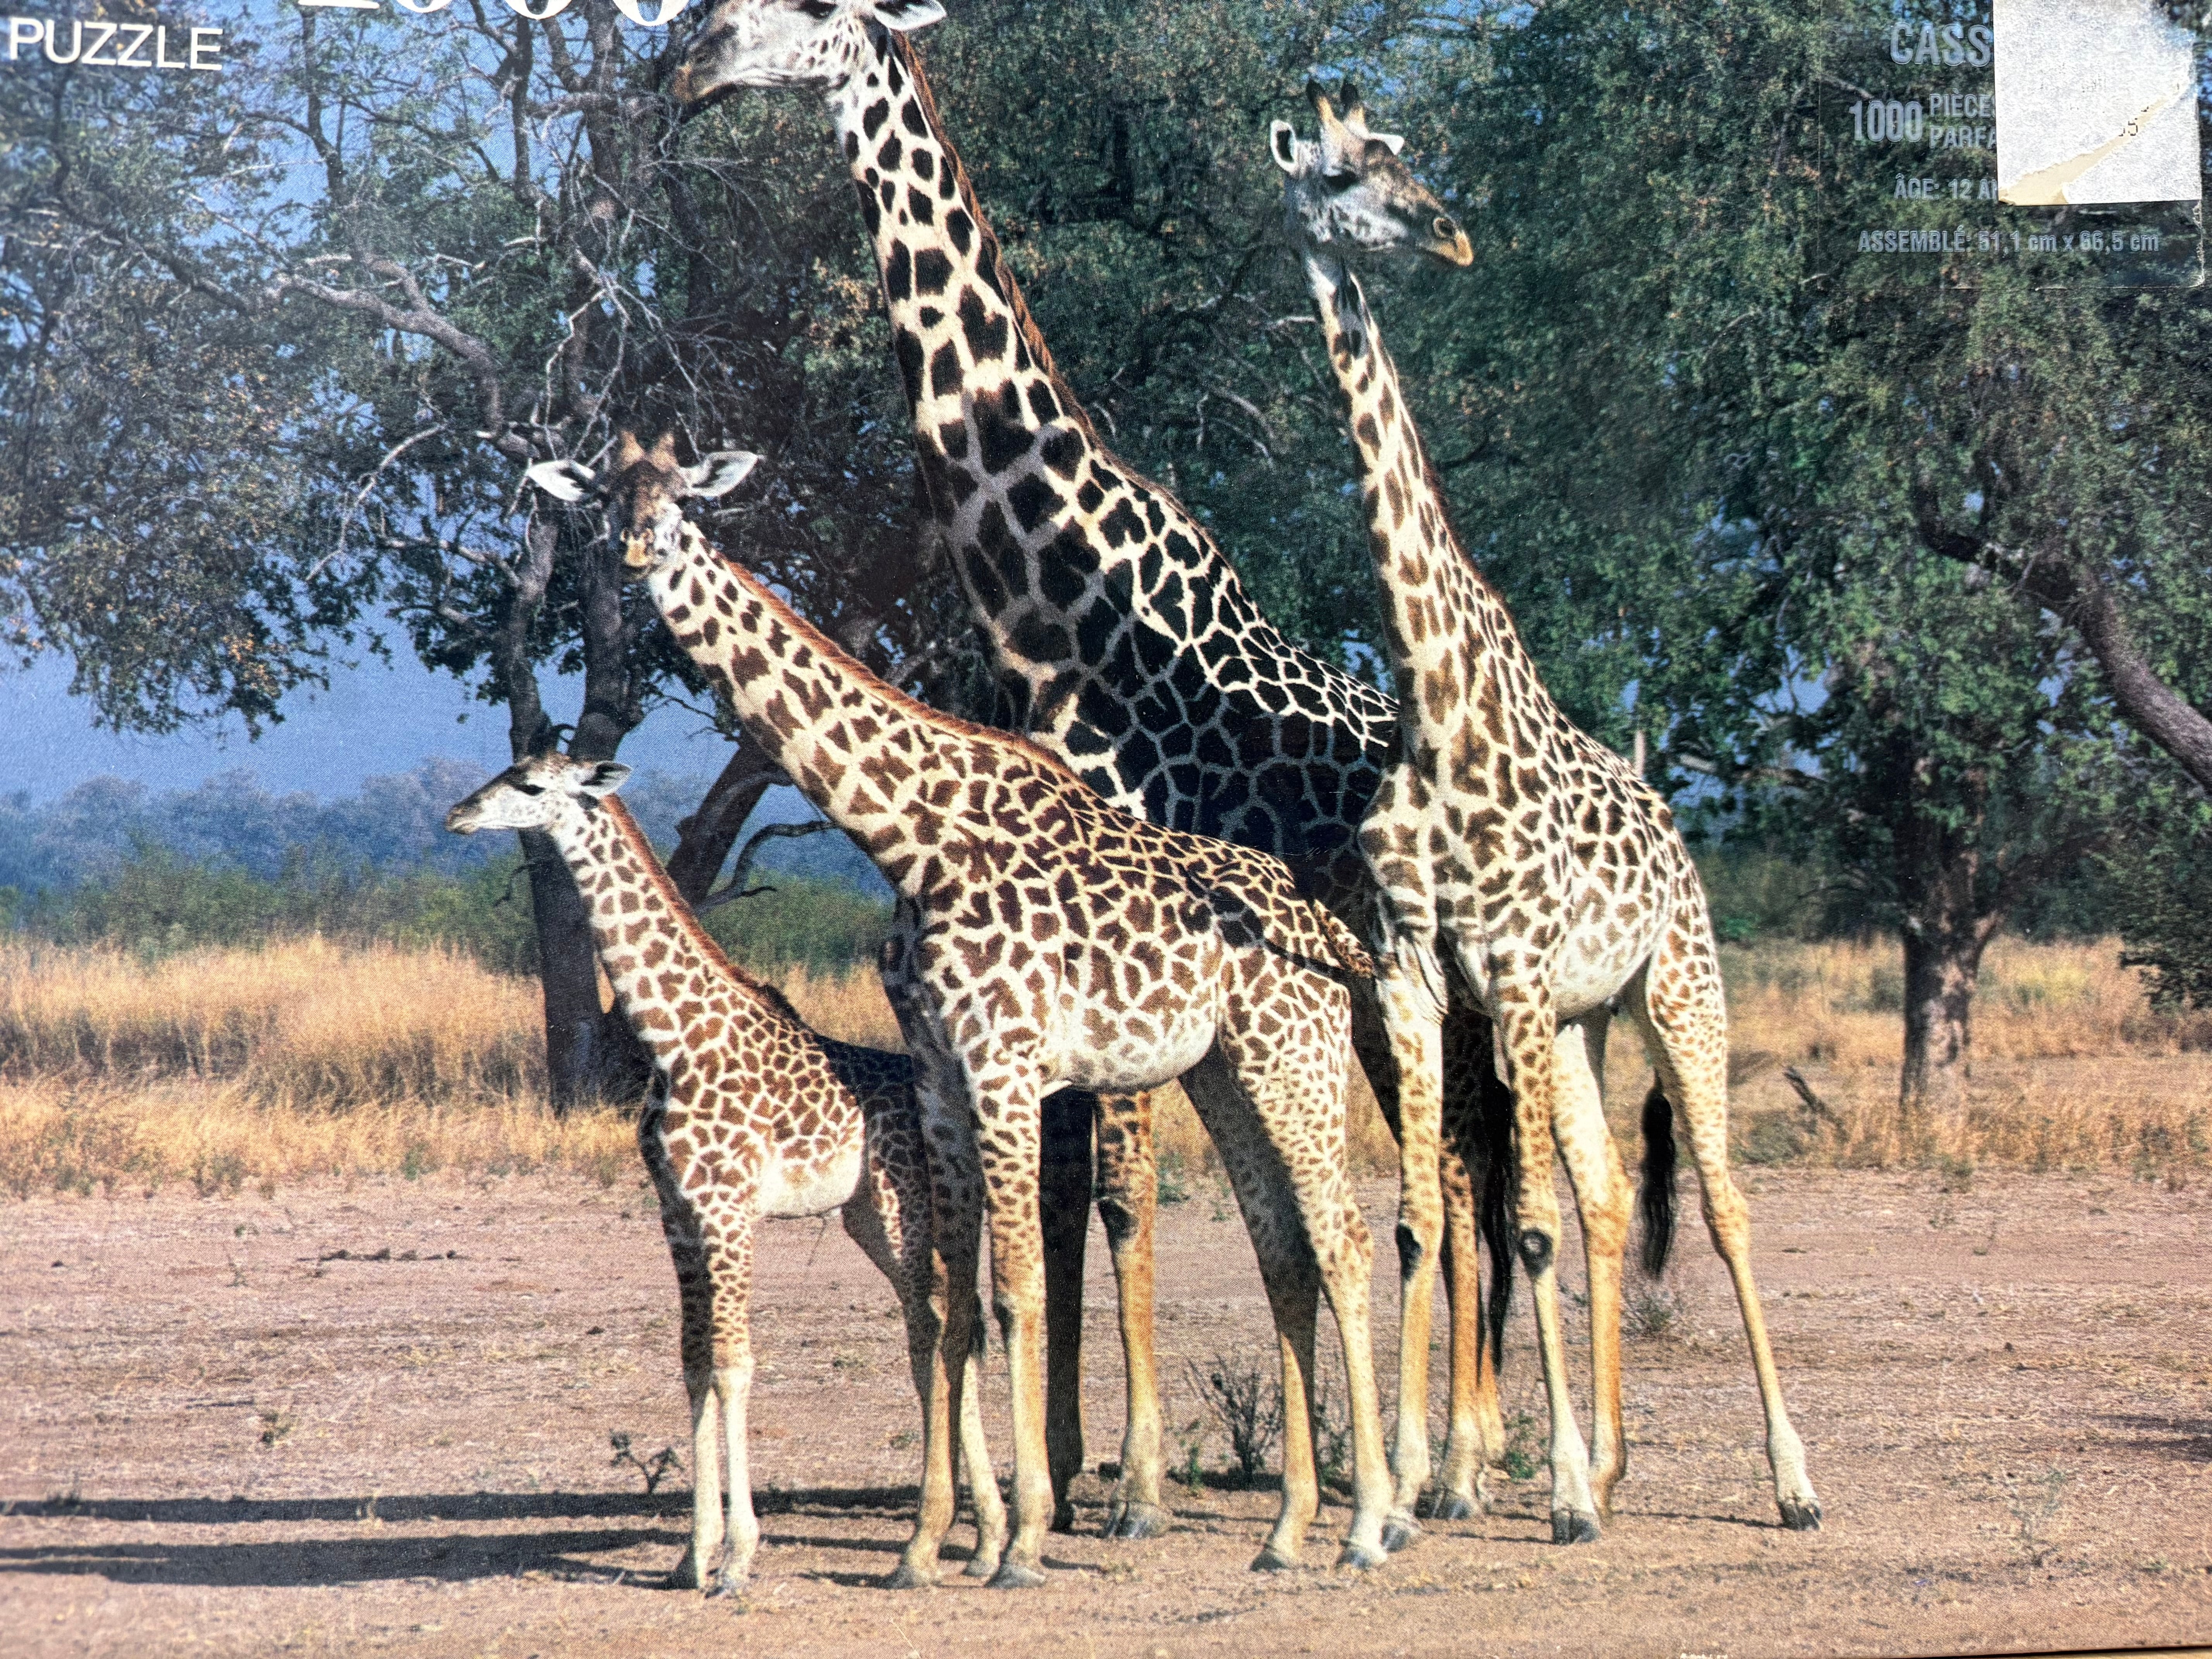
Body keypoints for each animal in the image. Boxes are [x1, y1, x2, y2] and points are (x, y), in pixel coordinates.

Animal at [444, 741, 1008, 1594]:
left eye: (532, 783)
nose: (459, 813)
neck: (672, 1040)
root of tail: (960, 1114)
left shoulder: (728, 1208)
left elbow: (737, 1363)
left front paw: (738, 1556)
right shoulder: (676, 1212)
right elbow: (693, 1362)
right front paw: (690, 1555)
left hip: (906, 1207)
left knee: (936, 1332)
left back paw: (934, 1542)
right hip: (872, 1217)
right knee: (952, 1329)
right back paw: (982, 1540)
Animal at [528, 431, 1394, 1587]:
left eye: (681, 506)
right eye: (606, 500)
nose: (632, 556)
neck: (914, 835)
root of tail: (1328, 932)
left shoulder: (1007, 1059)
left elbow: (1018, 1285)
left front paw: (1021, 1539)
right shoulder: (939, 1072)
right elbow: (955, 1300)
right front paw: (929, 1543)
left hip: (1295, 1056)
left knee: (1346, 1238)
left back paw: (1376, 1521)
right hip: (1226, 1068)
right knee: (1287, 1251)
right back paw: (1289, 1529)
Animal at [671, 0, 1520, 1548]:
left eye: (799, 18)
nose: (690, 61)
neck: (1062, 600)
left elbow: (1119, 1190)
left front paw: (1127, 1483)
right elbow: (1062, 1197)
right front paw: (1056, 1470)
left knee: (1460, 1164)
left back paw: (1462, 1462)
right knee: (1455, 1165)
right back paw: (1468, 1455)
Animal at [1272, 83, 1823, 1539]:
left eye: (1402, 157)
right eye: (1339, 173)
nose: (1449, 233)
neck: (1431, 692)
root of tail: (1679, 831)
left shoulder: (1510, 971)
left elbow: (1512, 1223)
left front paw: (1560, 1490)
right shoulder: (1421, 976)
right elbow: (1425, 1217)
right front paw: (1408, 1487)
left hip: (1676, 989)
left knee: (1724, 1203)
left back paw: (1792, 1482)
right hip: (1583, 1021)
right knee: (1607, 1190)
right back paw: (1623, 1466)